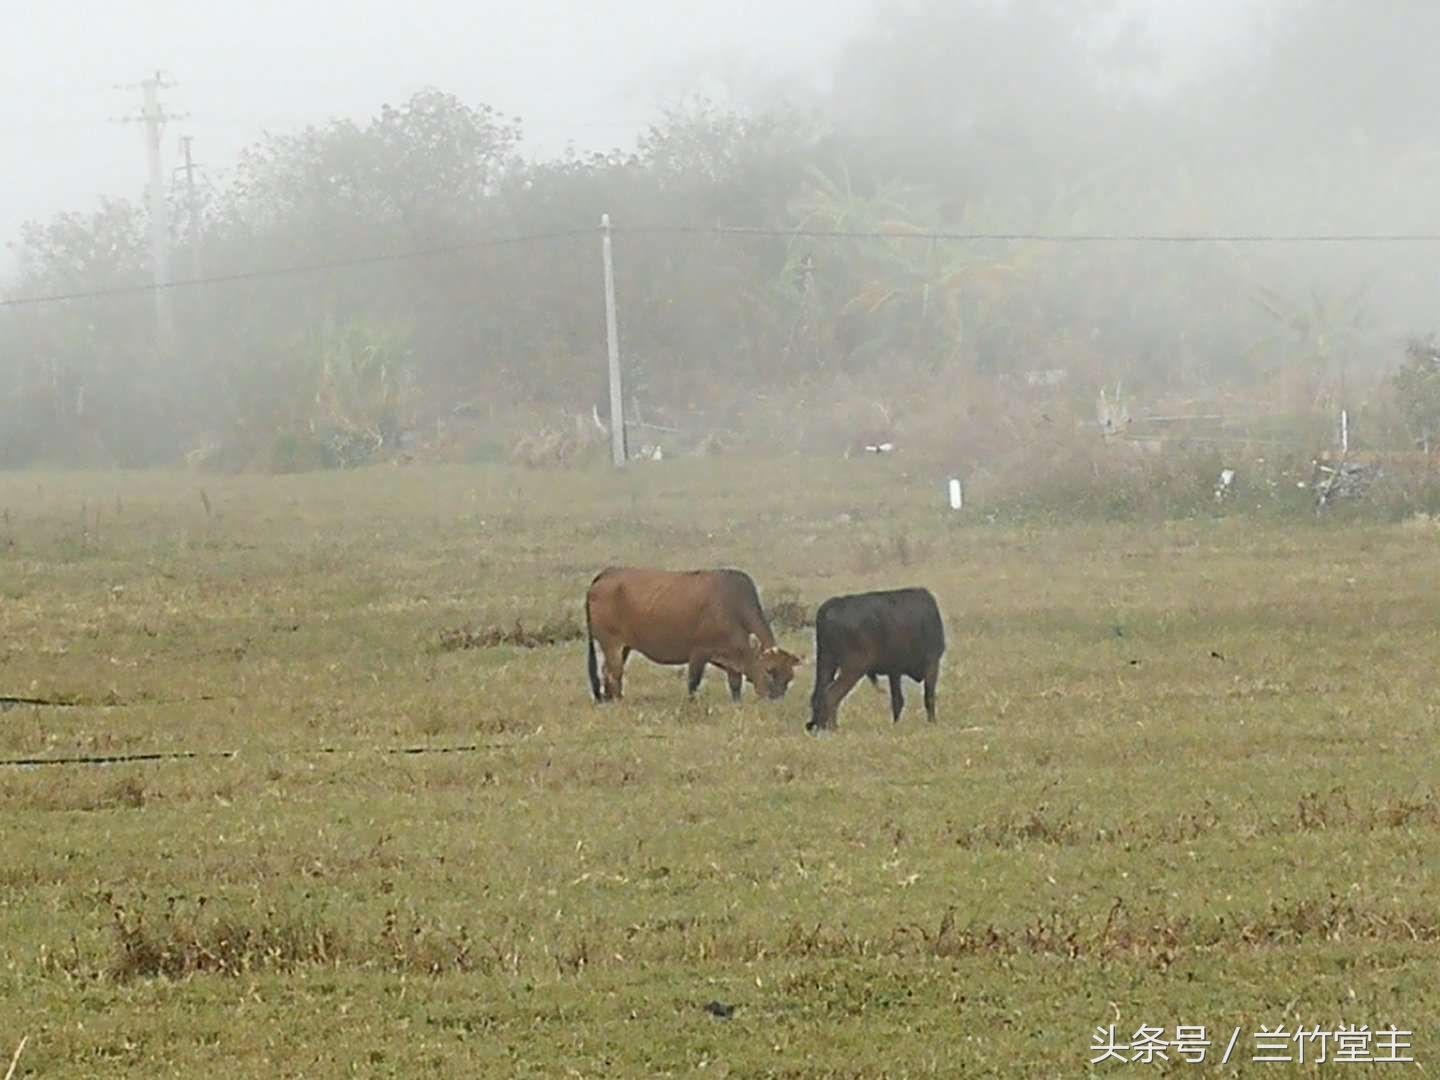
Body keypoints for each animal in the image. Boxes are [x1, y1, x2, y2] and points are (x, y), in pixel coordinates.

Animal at [587, 570, 812, 705]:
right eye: (769, 671)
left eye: (789, 678)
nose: (775, 702)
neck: (731, 606)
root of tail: (608, 573)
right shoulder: (698, 653)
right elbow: (693, 683)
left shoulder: (734, 656)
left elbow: (735, 684)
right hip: (612, 643)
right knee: (613, 673)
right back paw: (617, 701)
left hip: (623, 646)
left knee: (608, 671)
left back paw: (607, 699)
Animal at [812, 587, 944, 731]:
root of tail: (831, 606)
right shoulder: (932, 663)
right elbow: (929, 697)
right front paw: (933, 723)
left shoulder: (895, 671)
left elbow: (898, 700)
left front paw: (896, 724)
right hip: (852, 668)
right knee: (831, 695)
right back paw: (834, 728)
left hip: (826, 664)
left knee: (818, 695)